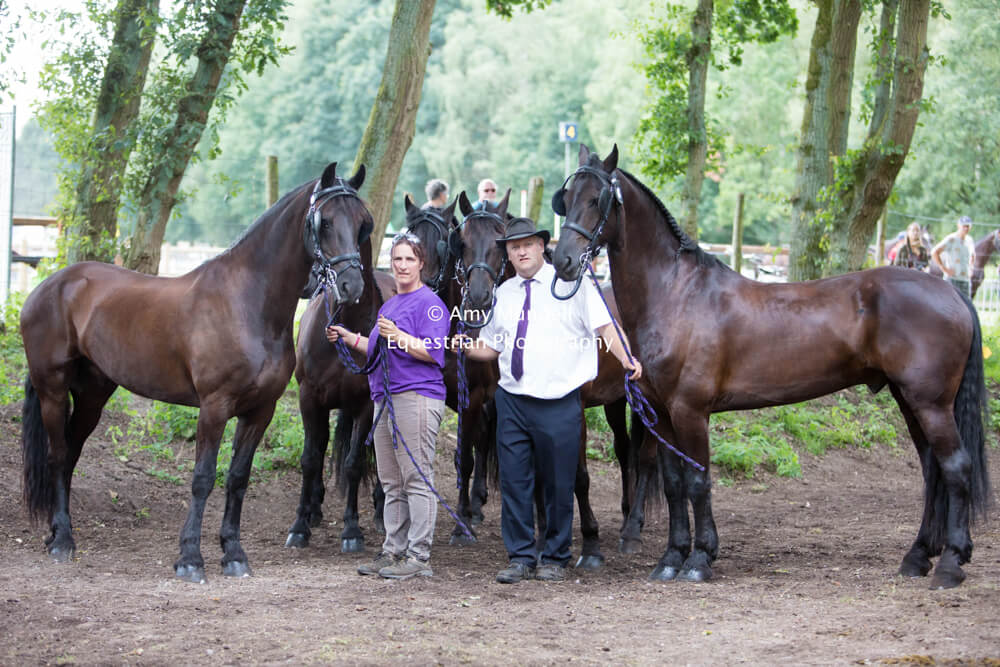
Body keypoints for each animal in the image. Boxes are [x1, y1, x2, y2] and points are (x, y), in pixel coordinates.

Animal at [21, 162, 373, 583]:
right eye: (325, 222)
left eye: (362, 224)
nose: (352, 286)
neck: (247, 303)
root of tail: (51, 285)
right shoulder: (214, 407)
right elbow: (203, 479)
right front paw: (190, 557)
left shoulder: (260, 411)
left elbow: (237, 478)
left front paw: (233, 553)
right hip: (53, 390)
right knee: (58, 456)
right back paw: (62, 541)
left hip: (92, 395)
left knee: (71, 454)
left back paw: (59, 531)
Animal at [551, 144, 990, 589]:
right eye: (566, 198)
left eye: (597, 199)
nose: (562, 260)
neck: (677, 294)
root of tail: (951, 292)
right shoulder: (662, 413)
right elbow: (674, 485)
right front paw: (672, 557)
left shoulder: (691, 412)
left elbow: (698, 481)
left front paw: (699, 559)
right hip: (909, 400)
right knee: (933, 470)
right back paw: (918, 557)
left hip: (931, 404)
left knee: (955, 468)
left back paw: (951, 562)